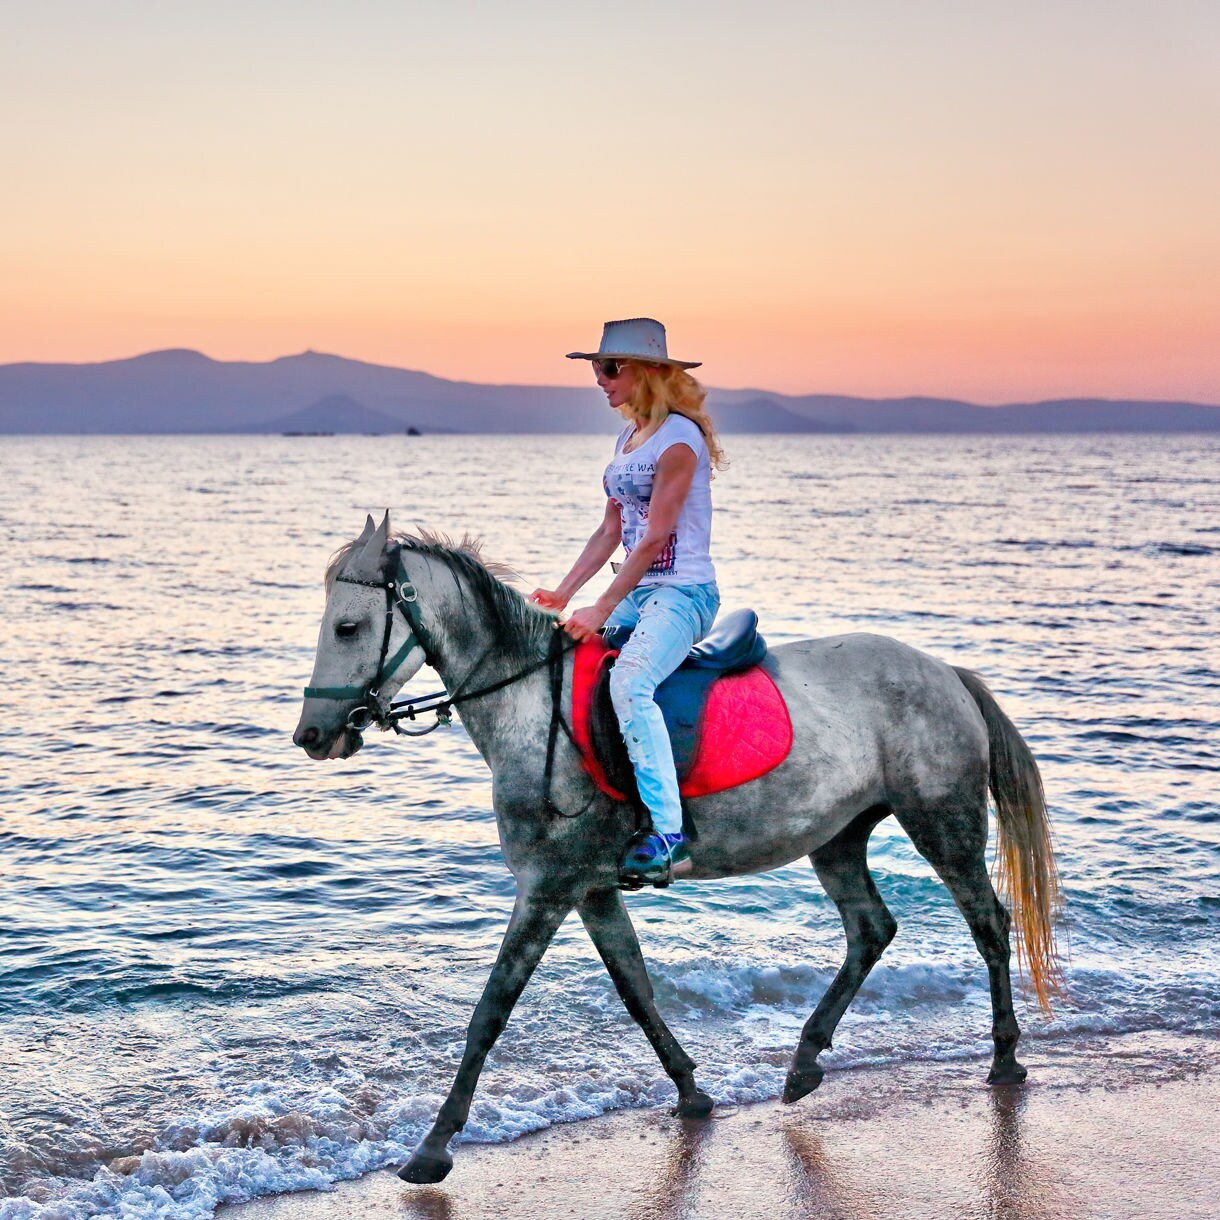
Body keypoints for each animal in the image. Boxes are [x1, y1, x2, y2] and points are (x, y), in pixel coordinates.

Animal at [293, 512, 1061, 1185]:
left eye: (348, 626)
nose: (313, 735)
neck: (533, 708)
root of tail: (946, 672)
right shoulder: (591, 889)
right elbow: (634, 987)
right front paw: (691, 1090)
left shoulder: (546, 888)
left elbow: (490, 1011)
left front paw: (433, 1145)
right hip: (838, 837)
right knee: (871, 929)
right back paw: (805, 1062)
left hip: (942, 821)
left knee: (988, 923)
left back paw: (1004, 1058)